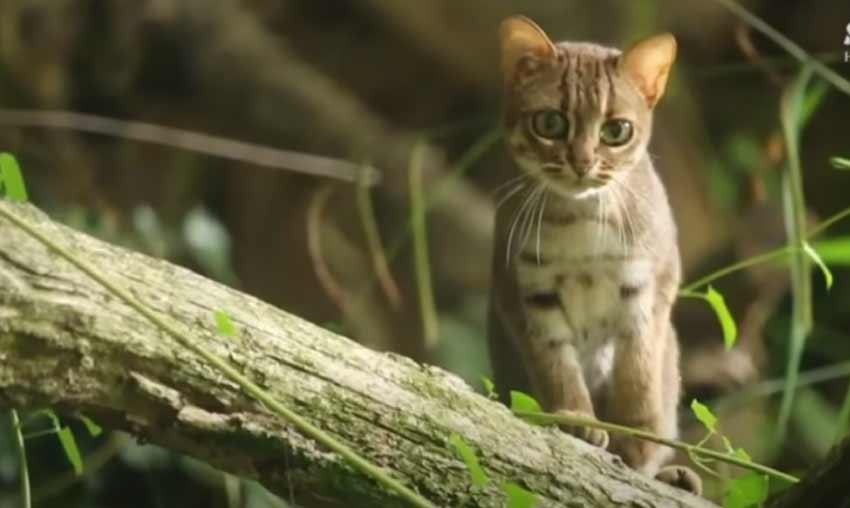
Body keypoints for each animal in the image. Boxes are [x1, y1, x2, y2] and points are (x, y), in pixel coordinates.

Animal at [486, 15, 700, 496]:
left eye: (616, 130)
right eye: (549, 123)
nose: (582, 163)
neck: (579, 216)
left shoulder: (650, 284)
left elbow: (639, 370)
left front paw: (636, 439)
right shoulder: (524, 291)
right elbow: (556, 364)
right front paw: (577, 419)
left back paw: (674, 474)